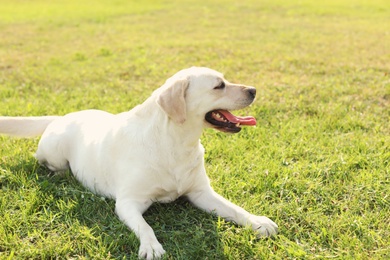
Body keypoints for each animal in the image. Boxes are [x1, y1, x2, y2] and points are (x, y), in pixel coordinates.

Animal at [1, 67, 278, 260]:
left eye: (225, 80)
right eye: (218, 86)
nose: (254, 90)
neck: (176, 143)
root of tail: (62, 116)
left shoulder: (201, 193)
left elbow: (235, 209)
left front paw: (258, 222)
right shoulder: (128, 203)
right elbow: (145, 227)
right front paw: (151, 246)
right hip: (55, 153)